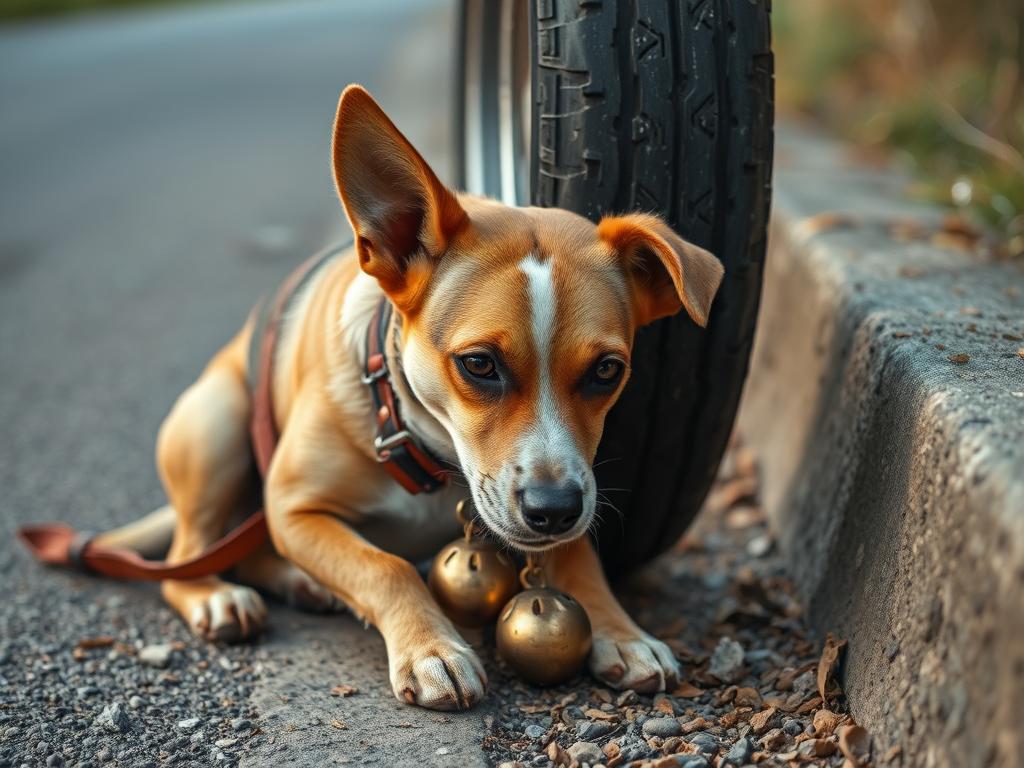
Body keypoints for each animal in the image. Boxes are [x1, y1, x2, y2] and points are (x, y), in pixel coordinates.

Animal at [94, 85, 720, 716]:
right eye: (479, 364)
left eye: (606, 371)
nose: (554, 510)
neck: (423, 446)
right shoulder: (292, 508)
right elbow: (386, 565)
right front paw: (432, 648)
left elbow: (578, 556)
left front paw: (622, 630)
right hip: (217, 424)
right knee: (185, 557)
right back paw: (218, 595)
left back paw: (302, 582)